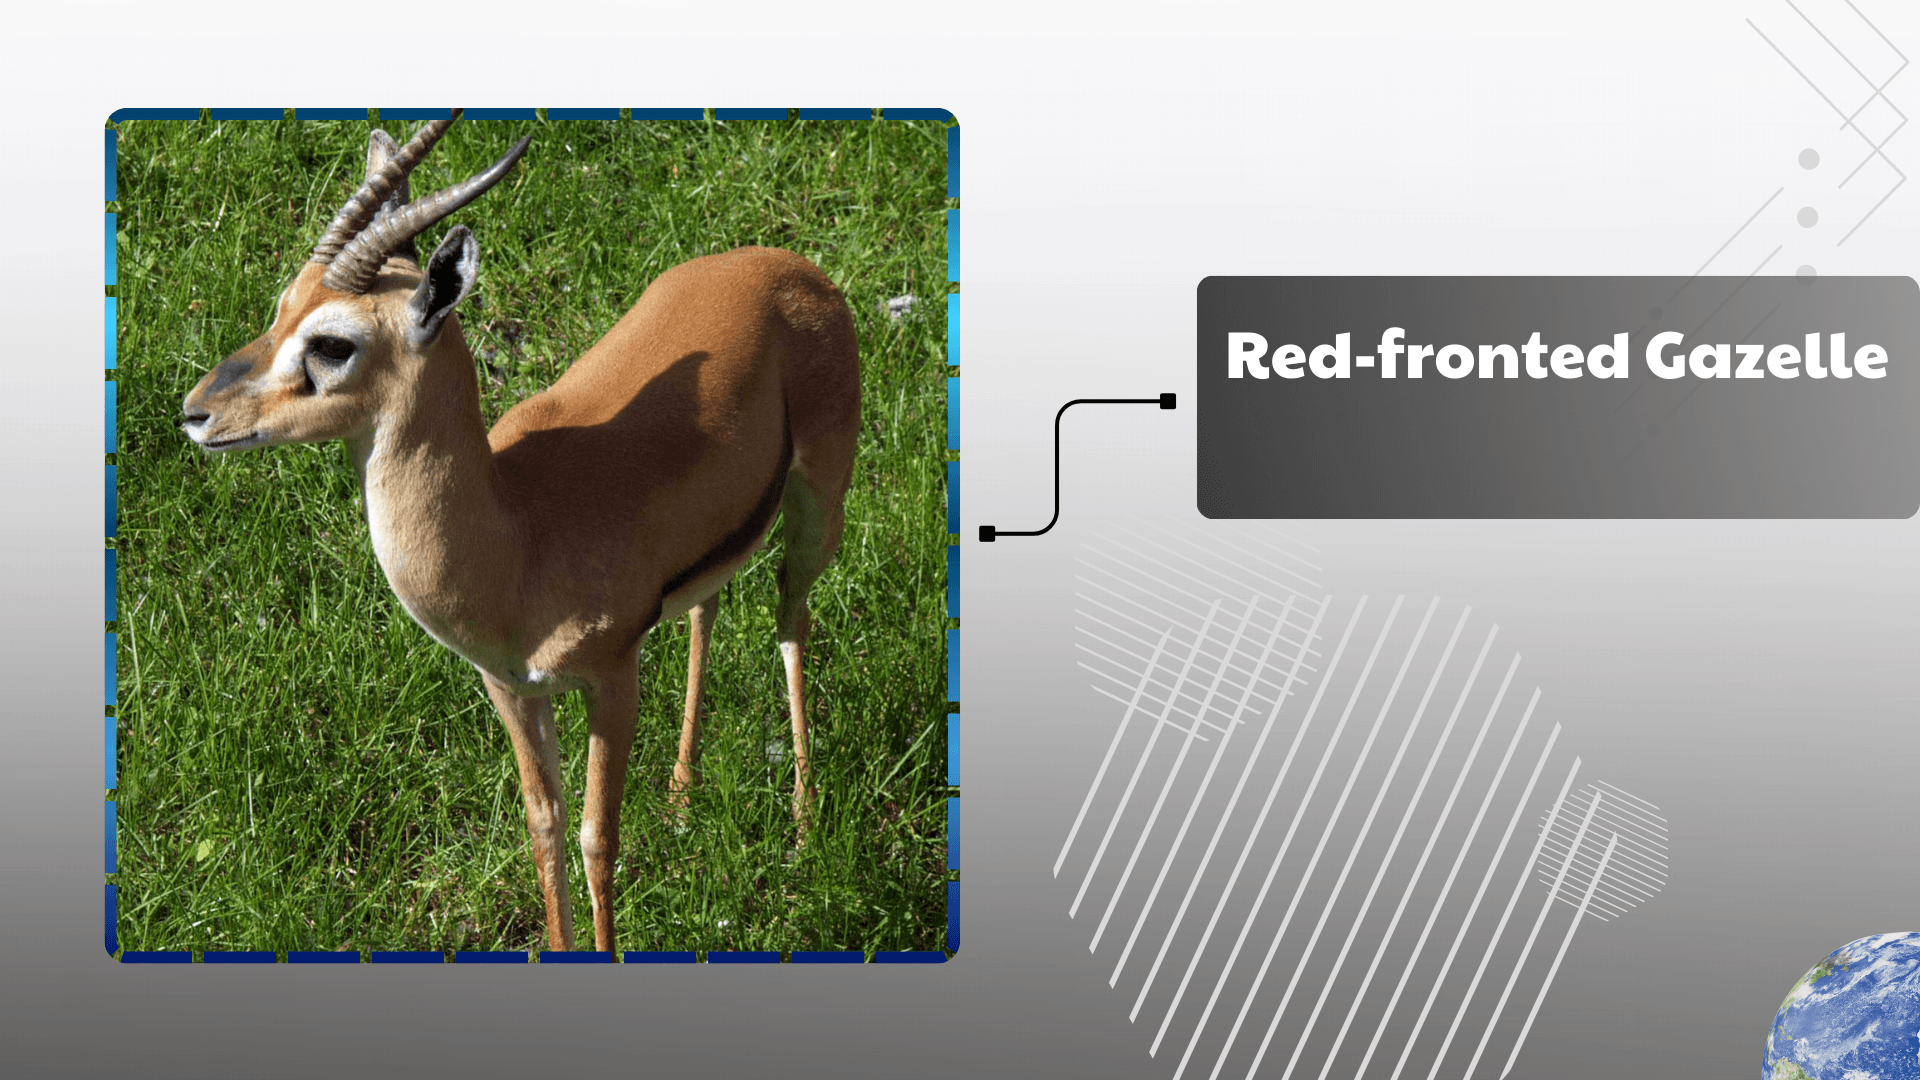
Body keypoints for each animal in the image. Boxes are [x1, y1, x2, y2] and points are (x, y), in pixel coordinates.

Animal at [179, 111, 860, 953]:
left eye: (333, 343)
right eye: (281, 309)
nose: (196, 413)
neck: (519, 536)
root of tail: (786, 265)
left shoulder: (613, 678)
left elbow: (597, 836)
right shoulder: (509, 686)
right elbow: (544, 824)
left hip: (820, 503)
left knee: (792, 619)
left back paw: (802, 827)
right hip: (723, 542)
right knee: (710, 605)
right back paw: (681, 799)